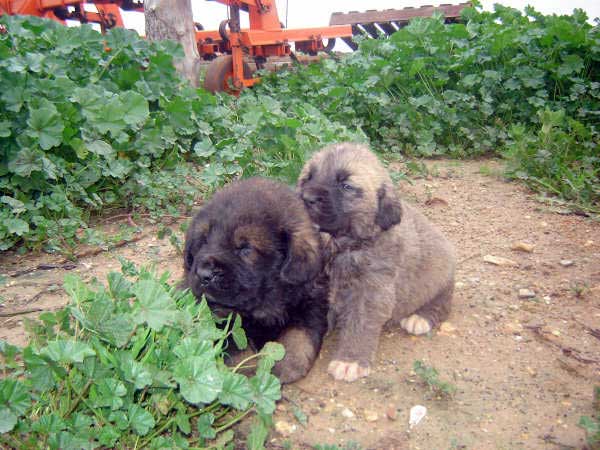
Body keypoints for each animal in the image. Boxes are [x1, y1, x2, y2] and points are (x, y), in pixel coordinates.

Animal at [183, 178, 328, 382]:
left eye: (246, 248)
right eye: (203, 241)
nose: (204, 274)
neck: (263, 304)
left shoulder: (311, 303)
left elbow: (299, 334)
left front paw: (288, 363)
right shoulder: (214, 312)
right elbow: (233, 338)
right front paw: (245, 371)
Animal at [300, 142, 454, 382]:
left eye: (346, 186)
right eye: (308, 177)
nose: (307, 198)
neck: (341, 245)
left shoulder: (370, 291)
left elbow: (360, 324)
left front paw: (350, 360)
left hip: (439, 277)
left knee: (442, 302)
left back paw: (420, 317)